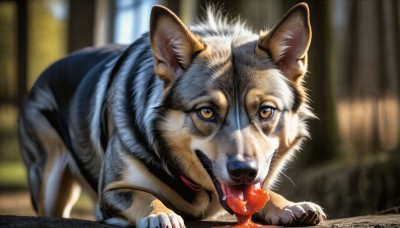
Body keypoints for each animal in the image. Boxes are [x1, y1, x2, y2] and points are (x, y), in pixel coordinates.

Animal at [18, 2, 324, 227]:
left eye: (265, 111)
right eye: (206, 112)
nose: (243, 171)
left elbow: (262, 192)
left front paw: (289, 205)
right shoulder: (110, 192)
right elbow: (143, 197)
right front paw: (160, 214)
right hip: (50, 183)